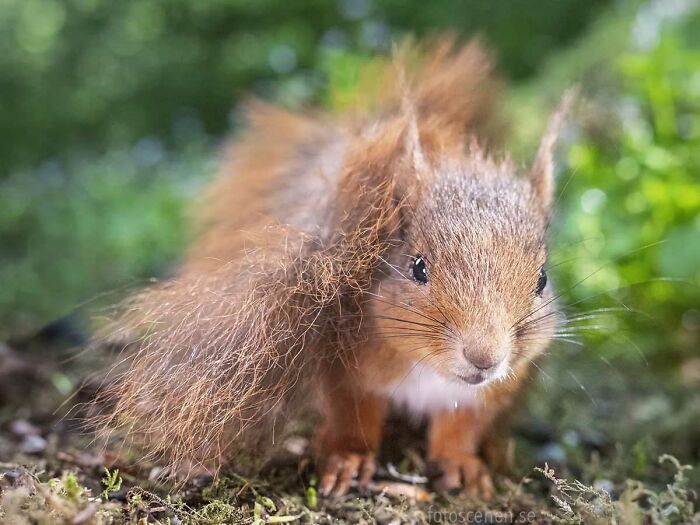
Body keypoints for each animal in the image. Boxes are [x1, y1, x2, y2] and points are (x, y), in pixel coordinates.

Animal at [95, 37, 569, 498]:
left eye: (542, 279)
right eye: (417, 268)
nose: (484, 357)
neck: (432, 372)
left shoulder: (487, 392)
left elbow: (460, 427)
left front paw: (461, 463)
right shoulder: (345, 357)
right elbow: (352, 413)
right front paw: (349, 458)